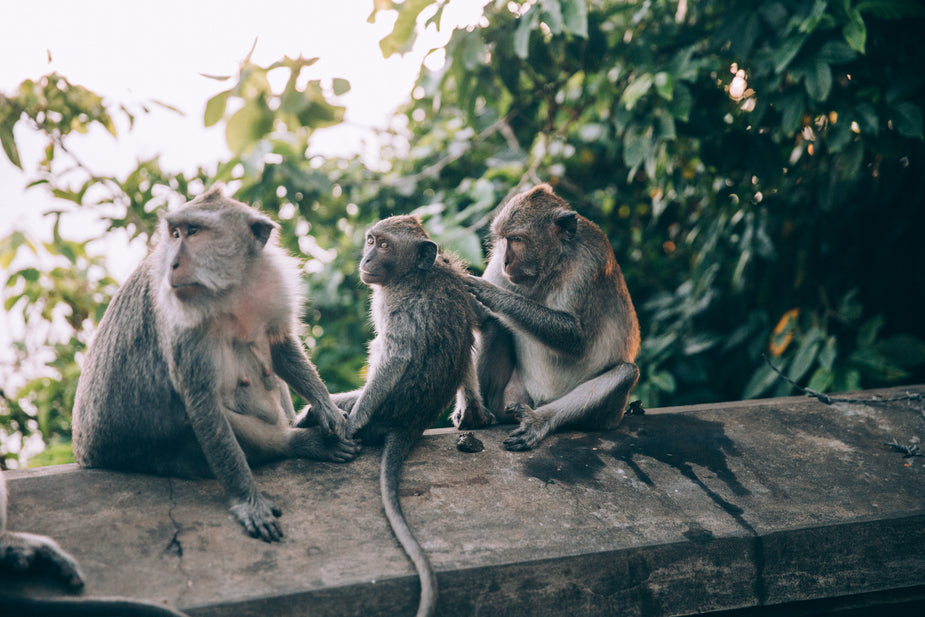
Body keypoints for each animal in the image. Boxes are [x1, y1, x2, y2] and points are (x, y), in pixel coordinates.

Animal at [72, 187, 359, 543]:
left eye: (194, 232)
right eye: (176, 233)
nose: (174, 264)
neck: (229, 289)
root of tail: (86, 455)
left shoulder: (271, 281)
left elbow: (278, 343)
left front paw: (326, 409)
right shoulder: (182, 319)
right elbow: (203, 404)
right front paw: (249, 501)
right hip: (146, 454)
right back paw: (296, 442)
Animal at [331, 215, 482, 617]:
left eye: (384, 246)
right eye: (371, 240)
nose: (366, 258)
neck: (413, 274)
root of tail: (409, 423)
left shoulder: (395, 304)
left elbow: (396, 355)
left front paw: (351, 425)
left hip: (384, 410)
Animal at [460, 183, 641, 451]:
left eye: (517, 239)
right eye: (504, 239)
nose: (505, 261)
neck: (553, 265)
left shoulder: (590, 265)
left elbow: (576, 339)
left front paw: (489, 292)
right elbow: (480, 318)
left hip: (608, 417)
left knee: (626, 373)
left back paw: (538, 421)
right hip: (512, 397)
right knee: (494, 324)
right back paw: (479, 413)